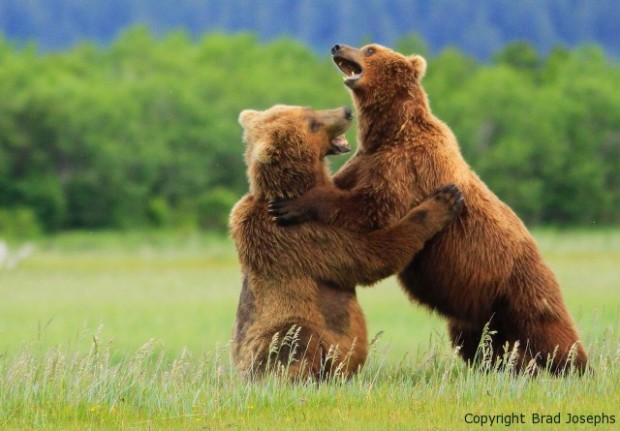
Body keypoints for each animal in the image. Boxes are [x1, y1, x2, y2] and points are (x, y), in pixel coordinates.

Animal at [230, 104, 462, 382]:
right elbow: (370, 257)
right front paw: (445, 199)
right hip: (276, 335)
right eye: (313, 124)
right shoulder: (303, 237)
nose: (346, 111)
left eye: (309, 109)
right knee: (295, 341)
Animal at [270, 44, 588, 374]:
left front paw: (293, 204)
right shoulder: (367, 160)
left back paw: (576, 366)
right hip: (479, 307)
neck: (391, 132)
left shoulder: (408, 165)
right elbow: (350, 189)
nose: (337, 46)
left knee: (549, 331)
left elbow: (371, 207)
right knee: (479, 343)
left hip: (521, 285)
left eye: (370, 49)